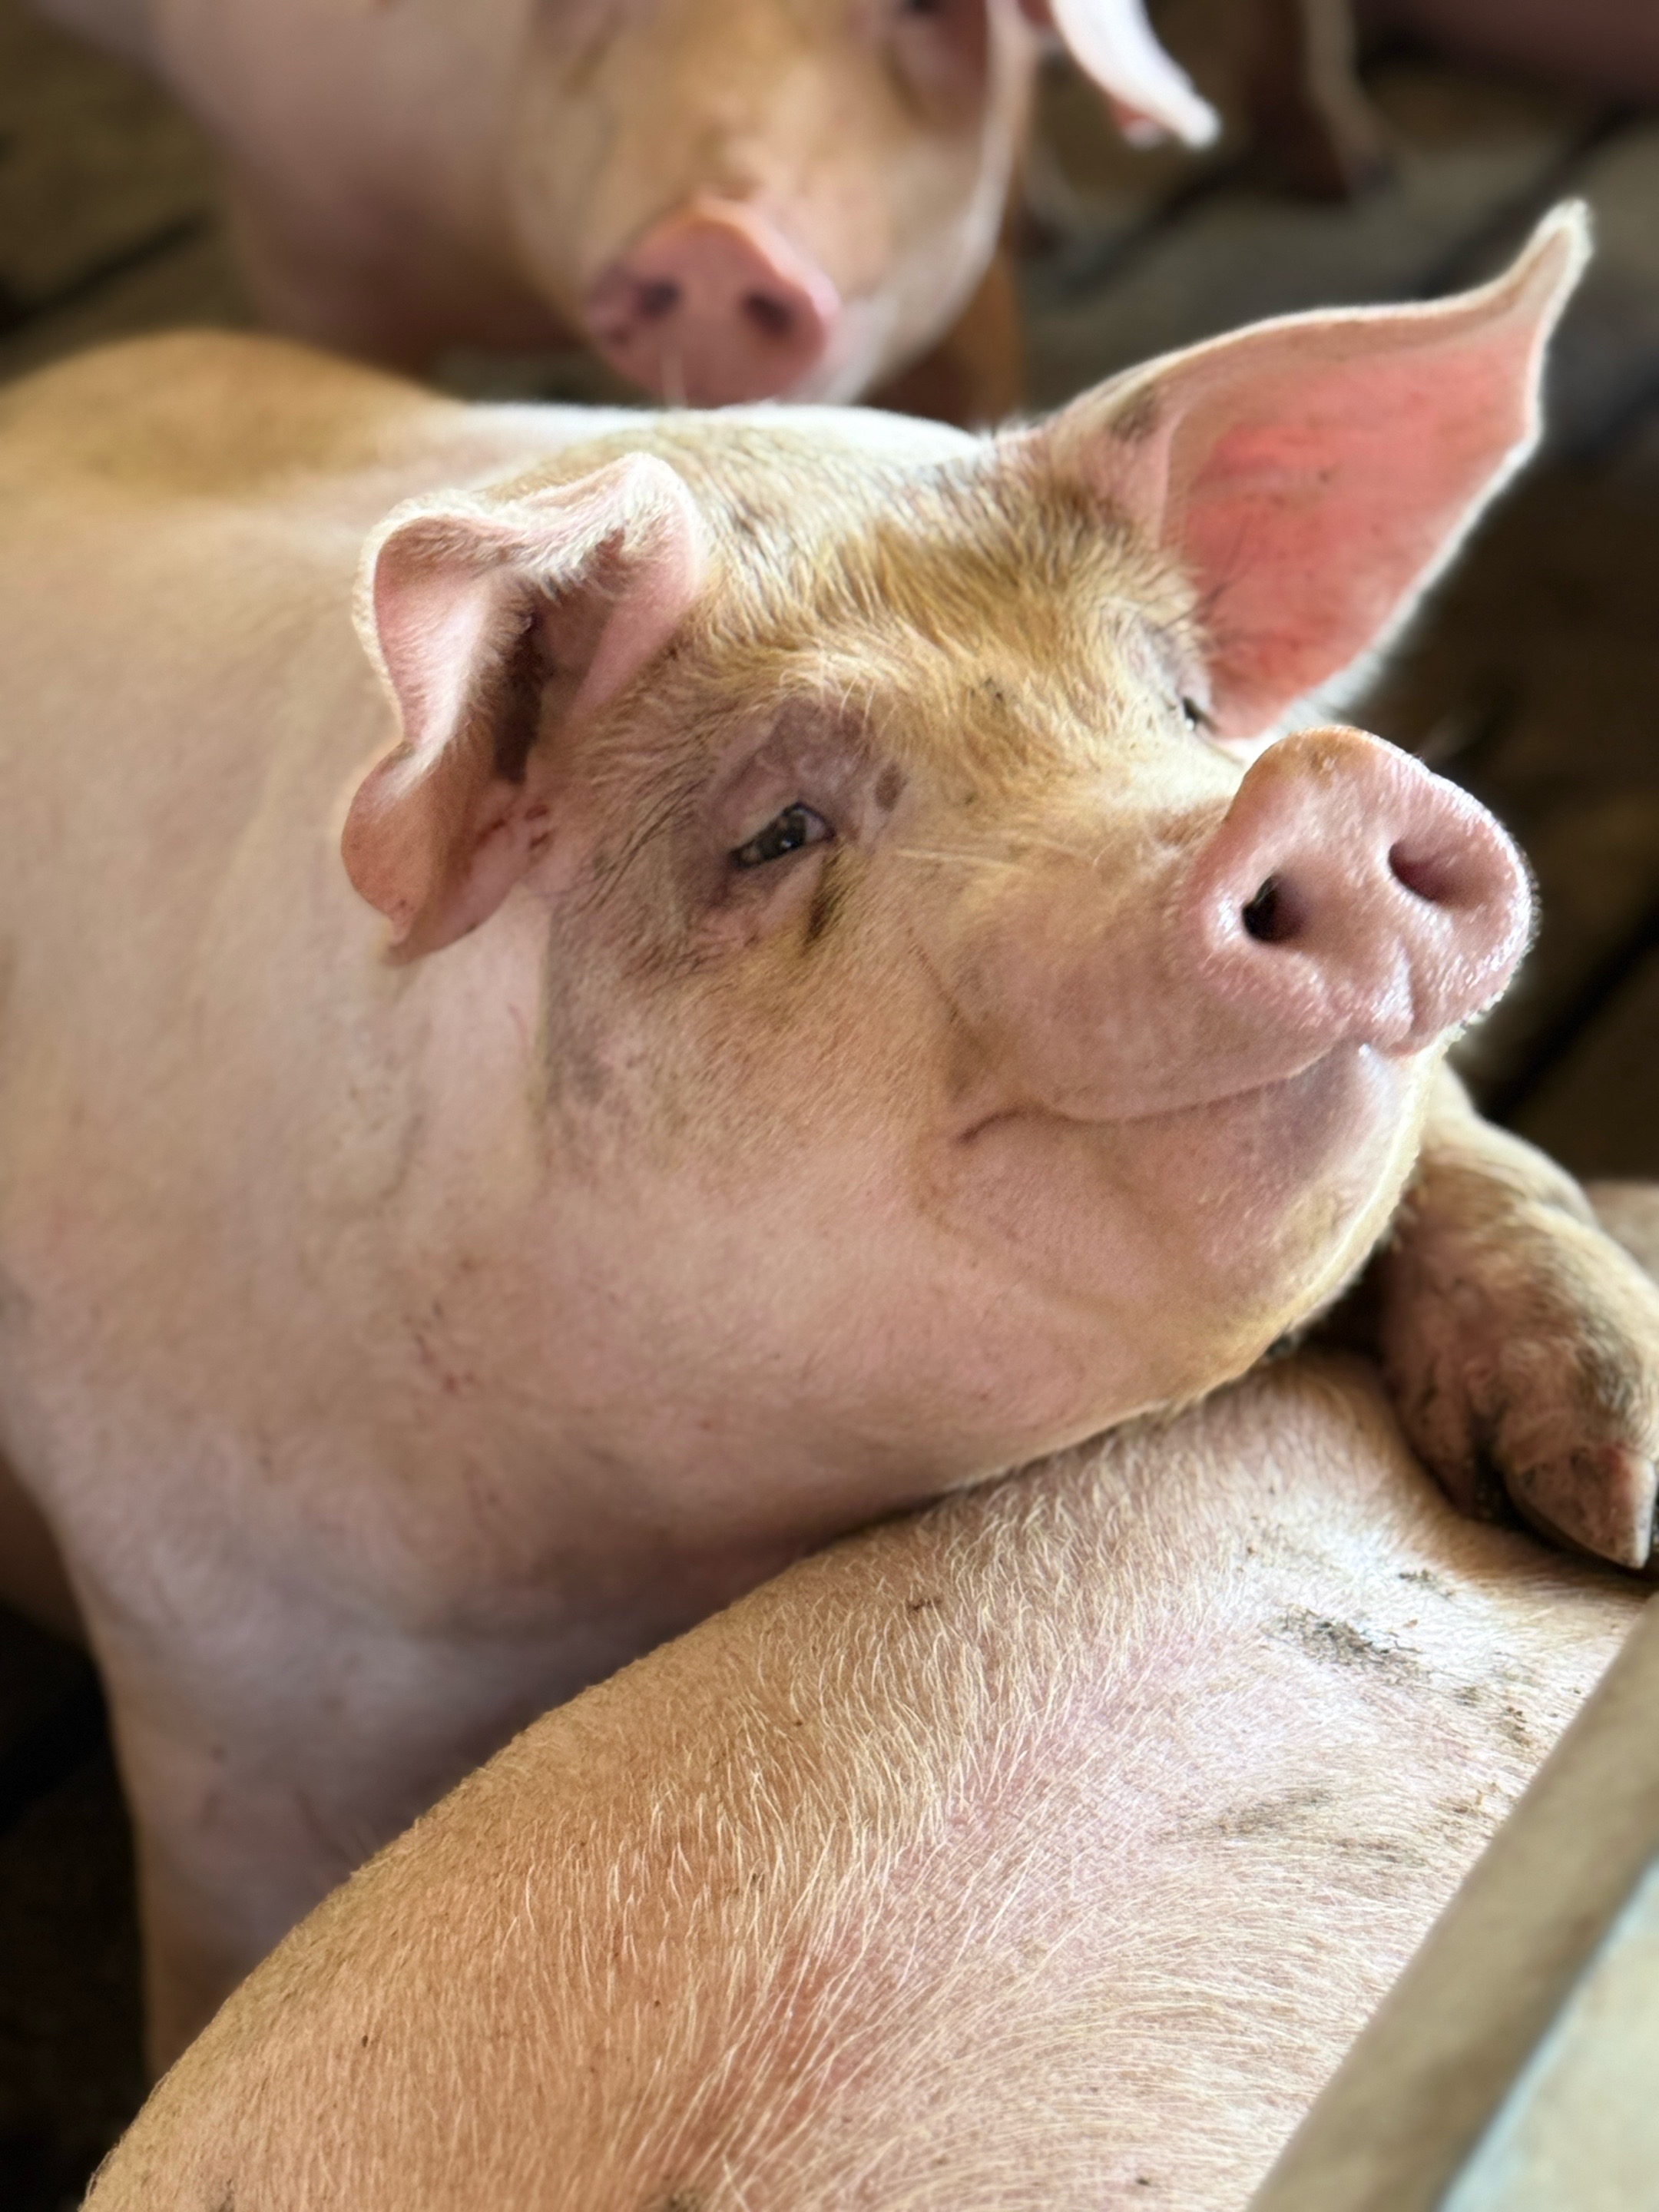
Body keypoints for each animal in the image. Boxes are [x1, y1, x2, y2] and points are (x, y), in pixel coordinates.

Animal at [1, 206, 1656, 2072]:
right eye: (777, 831)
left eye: (1182, 710)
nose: (1325, 784)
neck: (654, 1555)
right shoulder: (218, 1682)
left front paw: (1615, 1503)